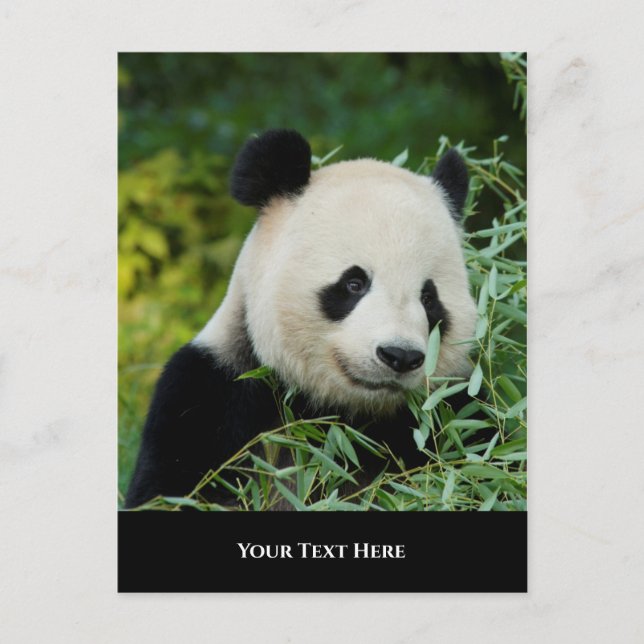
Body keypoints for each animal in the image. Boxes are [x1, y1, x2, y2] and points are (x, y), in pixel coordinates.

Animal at [124, 129, 476, 509]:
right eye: (354, 283)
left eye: (429, 298)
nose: (400, 356)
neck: (341, 415)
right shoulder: (207, 398)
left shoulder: (454, 410)